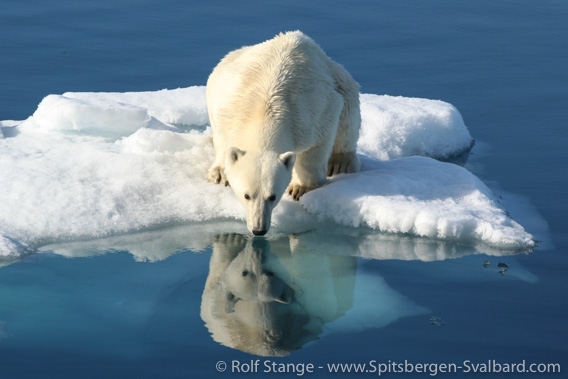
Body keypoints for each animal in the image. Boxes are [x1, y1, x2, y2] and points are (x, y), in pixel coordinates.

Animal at [206, 31, 362, 236]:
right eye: (246, 195)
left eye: (272, 196)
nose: (258, 229)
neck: (264, 108)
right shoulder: (229, 107)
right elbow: (223, 138)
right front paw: (221, 173)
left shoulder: (311, 113)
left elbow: (317, 147)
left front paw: (301, 188)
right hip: (221, 73)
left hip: (338, 77)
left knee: (348, 113)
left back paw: (340, 163)